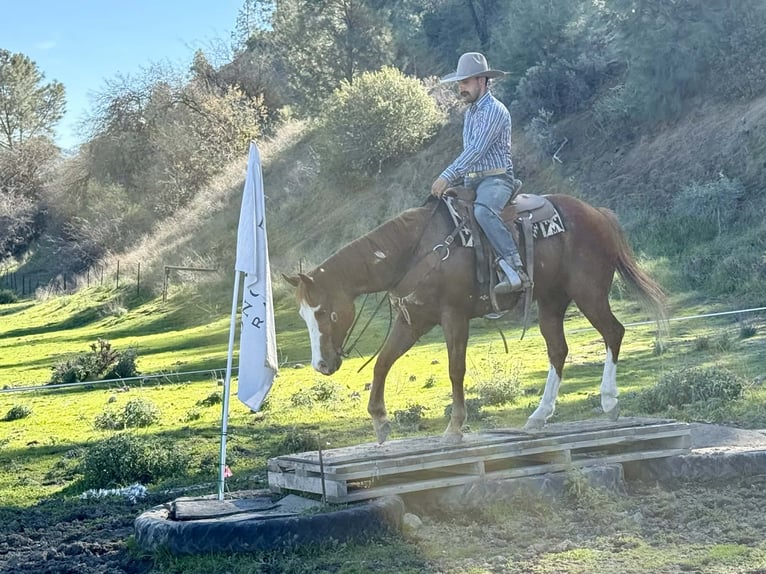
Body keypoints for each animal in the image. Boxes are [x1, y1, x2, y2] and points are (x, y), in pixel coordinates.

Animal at [283, 191, 666, 444]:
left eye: (323, 311)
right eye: (304, 315)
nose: (321, 364)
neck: (415, 251)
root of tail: (596, 213)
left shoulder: (454, 316)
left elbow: (455, 369)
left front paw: (454, 427)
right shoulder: (413, 320)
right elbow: (383, 363)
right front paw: (380, 422)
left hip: (589, 293)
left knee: (613, 333)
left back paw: (609, 402)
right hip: (551, 302)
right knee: (558, 350)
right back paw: (539, 417)